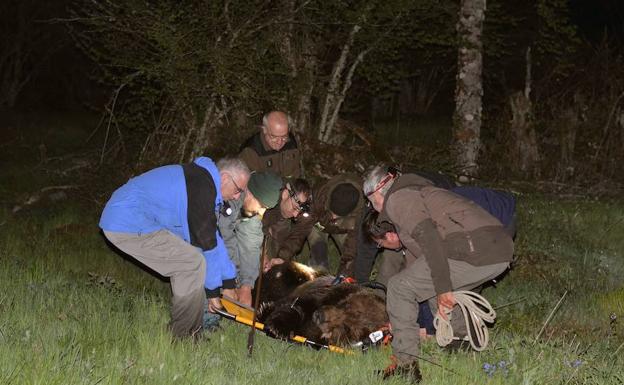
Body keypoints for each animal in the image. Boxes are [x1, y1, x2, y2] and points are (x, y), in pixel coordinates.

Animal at [256, 260, 388, 344]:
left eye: (346, 327)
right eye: (346, 305)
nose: (320, 316)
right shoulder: (326, 294)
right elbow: (296, 306)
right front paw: (276, 326)